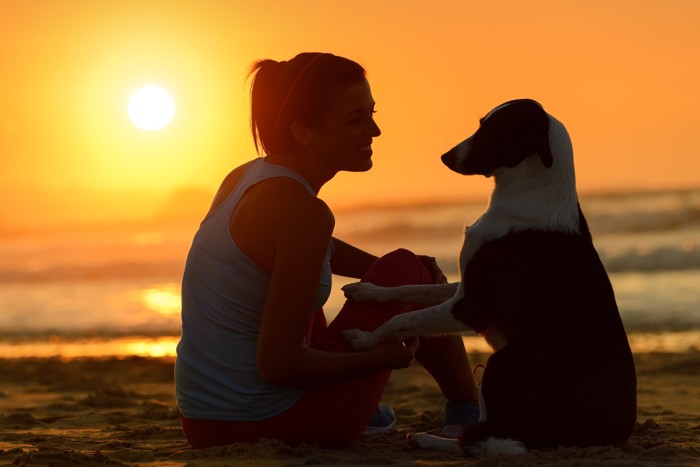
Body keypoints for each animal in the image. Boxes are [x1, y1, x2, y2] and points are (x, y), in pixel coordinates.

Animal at [342, 99, 636, 458]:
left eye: (491, 129)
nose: (445, 157)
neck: (531, 196)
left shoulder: (472, 306)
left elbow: (402, 320)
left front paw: (364, 340)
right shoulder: (464, 289)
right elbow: (411, 289)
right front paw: (366, 290)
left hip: (502, 362)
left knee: (484, 441)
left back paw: (427, 439)